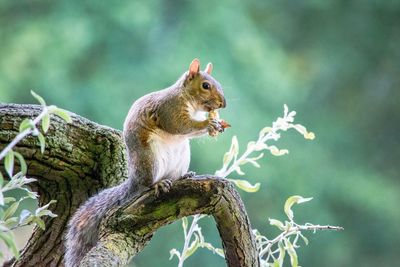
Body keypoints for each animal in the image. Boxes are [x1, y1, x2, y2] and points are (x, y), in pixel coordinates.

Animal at [66, 59, 228, 267]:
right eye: (205, 86)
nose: (223, 104)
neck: (189, 101)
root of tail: (135, 179)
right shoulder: (169, 109)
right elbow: (181, 126)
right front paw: (208, 124)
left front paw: (216, 126)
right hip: (150, 160)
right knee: (148, 184)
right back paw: (158, 184)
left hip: (182, 156)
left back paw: (184, 176)